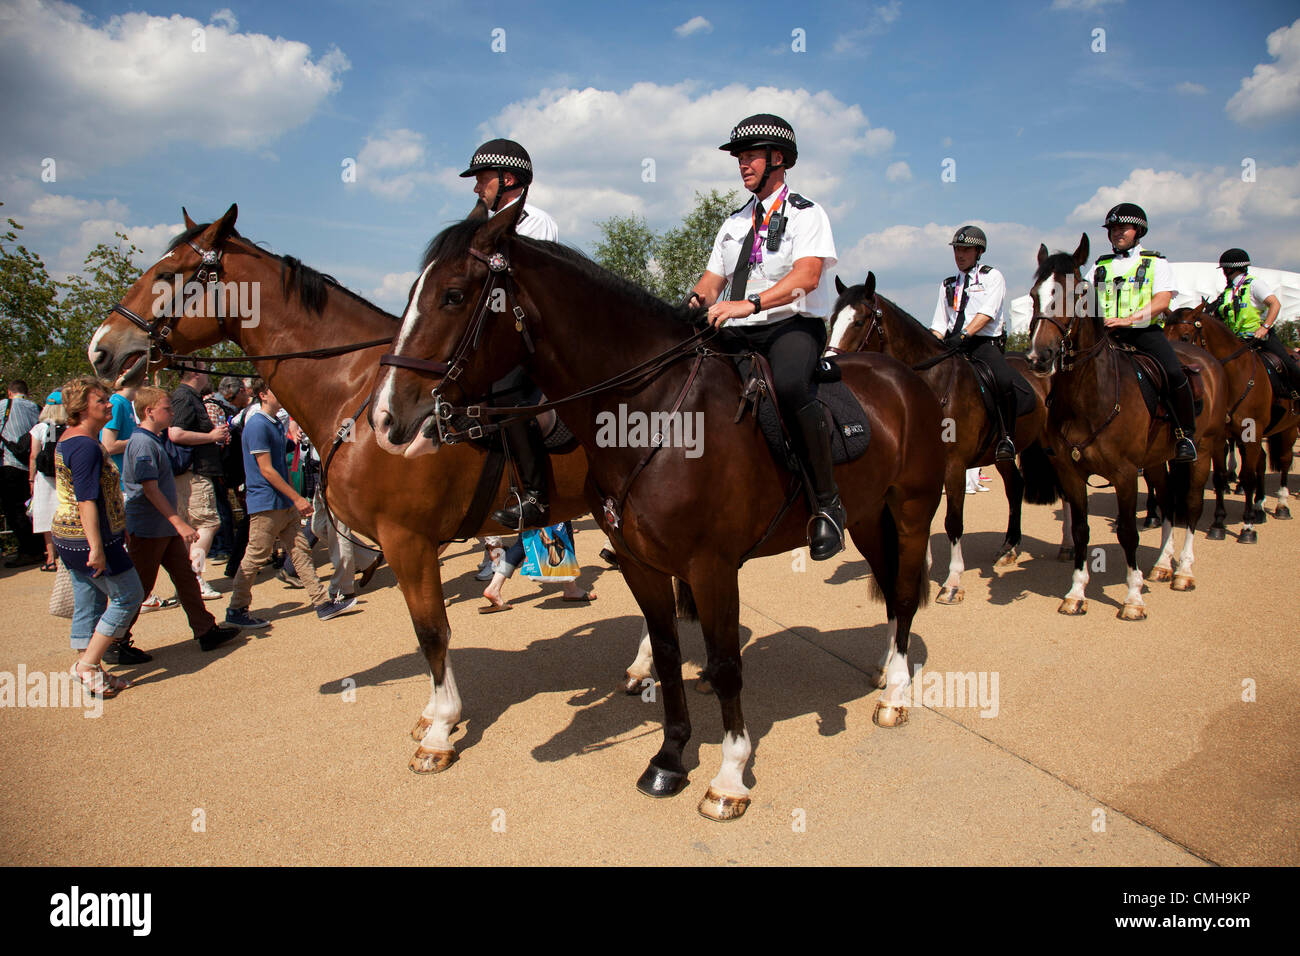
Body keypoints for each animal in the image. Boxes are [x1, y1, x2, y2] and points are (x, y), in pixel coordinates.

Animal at [89, 205, 595, 775]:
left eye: (168, 274)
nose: (101, 349)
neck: (359, 394)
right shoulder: (402, 542)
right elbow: (424, 626)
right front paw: (432, 714)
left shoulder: (407, 539)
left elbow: (432, 631)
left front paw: (440, 730)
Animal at [369, 200, 946, 822]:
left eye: (453, 295)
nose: (386, 418)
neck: (653, 412)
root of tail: (905, 378)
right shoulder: (639, 562)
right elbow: (668, 655)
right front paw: (670, 758)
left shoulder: (711, 567)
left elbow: (725, 665)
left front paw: (729, 777)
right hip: (865, 517)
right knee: (889, 588)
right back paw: (886, 672)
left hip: (911, 511)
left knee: (905, 594)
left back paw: (895, 695)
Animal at [832, 269, 1055, 600]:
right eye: (832, 318)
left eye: (858, 321)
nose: (828, 366)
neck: (932, 385)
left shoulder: (955, 467)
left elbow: (952, 522)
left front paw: (952, 581)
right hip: (1003, 455)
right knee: (1015, 487)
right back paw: (1009, 548)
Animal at [1024, 235, 1227, 616]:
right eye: (1033, 294)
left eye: (1079, 292)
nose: (1038, 358)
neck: (1090, 396)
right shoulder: (1071, 473)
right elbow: (1082, 529)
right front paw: (1076, 593)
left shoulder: (1125, 473)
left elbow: (1129, 532)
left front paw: (1133, 598)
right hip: (1157, 461)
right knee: (1168, 502)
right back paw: (1162, 565)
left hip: (1203, 452)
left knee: (1191, 506)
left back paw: (1183, 572)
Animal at [1164, 303, 1294, 535]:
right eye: (1162, 333)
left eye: (1185, 336)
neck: (1235, 378)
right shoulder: (1219, 438)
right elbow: (1220, 477)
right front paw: (1218, 523)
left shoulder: (1251, 436)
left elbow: (1248, 477)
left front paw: (1247, 526)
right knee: (1262, 461)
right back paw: (1259, 507)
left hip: (1290, 429)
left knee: (1285, 461)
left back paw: (1281, 505)